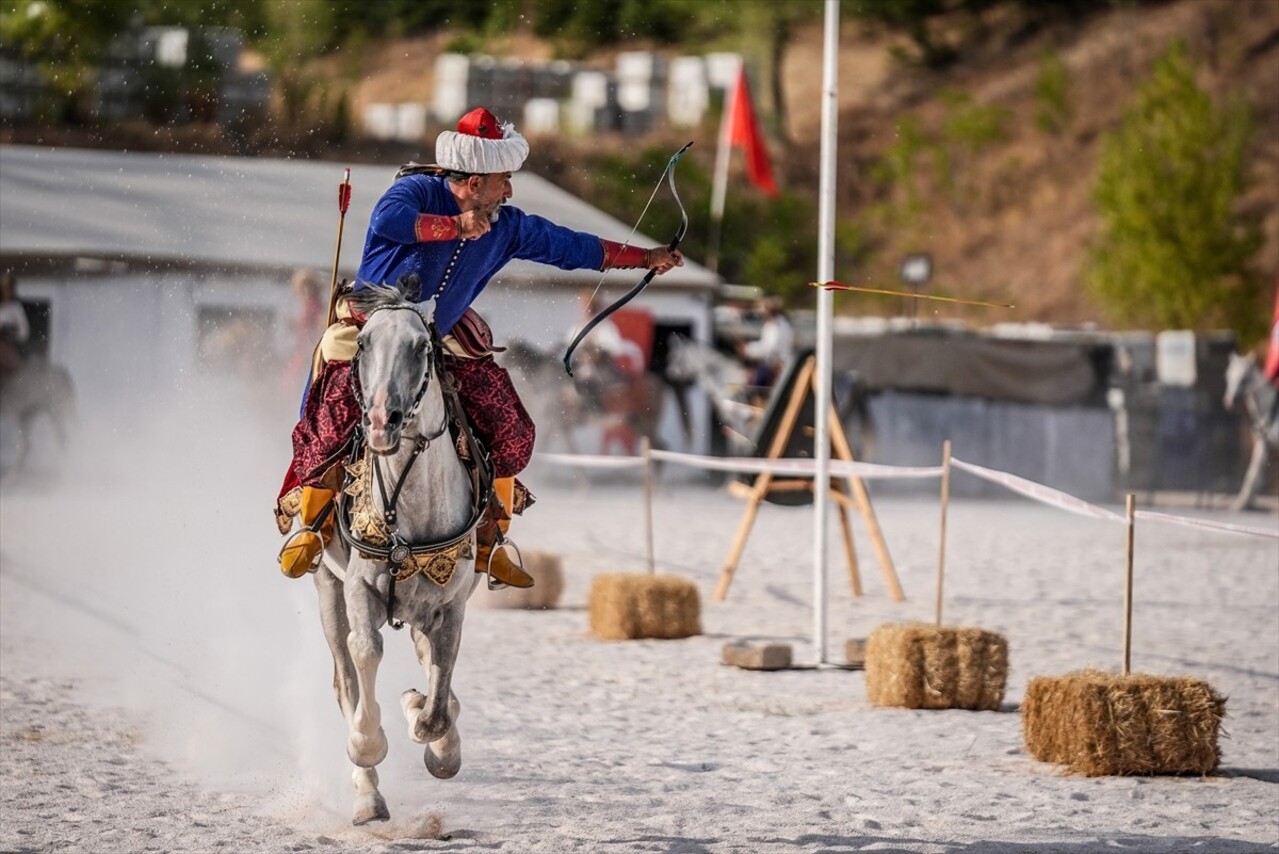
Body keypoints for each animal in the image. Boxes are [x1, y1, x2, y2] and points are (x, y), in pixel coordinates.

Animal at [313, 283, 483, 823]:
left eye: (422, 347)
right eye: (363, 344)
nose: (380, 421)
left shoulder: (451, 602)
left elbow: (438, 695)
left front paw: (434, 737)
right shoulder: (358, 586)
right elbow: (365, 651)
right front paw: (367, 745)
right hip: (327, 590)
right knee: (345, 678)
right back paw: (367, 797)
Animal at [1217, 350, 1279, 511]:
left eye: (1244, 378)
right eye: (1228, 375)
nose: (1229, 401)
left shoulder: (1265, 444)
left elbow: (1254, 473)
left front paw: (1243, 503)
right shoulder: (1263, 444)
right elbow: (1253, 473)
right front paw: (1243, 501)